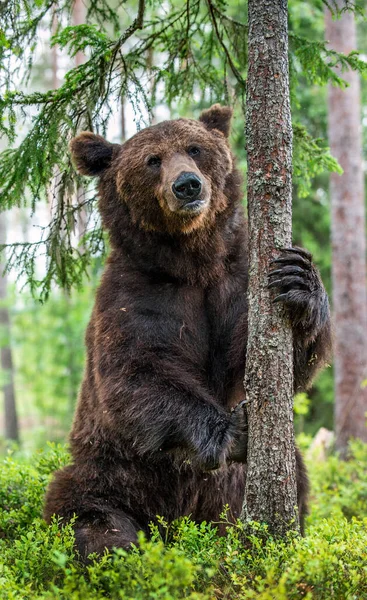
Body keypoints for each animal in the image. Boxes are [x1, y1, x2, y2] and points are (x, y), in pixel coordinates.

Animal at [44, 105, 332, 560]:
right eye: (152, 160)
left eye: (194, 148)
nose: (187, 185)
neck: (192, 260)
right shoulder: (137, 294)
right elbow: (136, 372)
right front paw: (235, 429)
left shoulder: (236, 280)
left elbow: (269, 363)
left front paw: (299, 279)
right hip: (113, 469)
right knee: (85, 512)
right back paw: (119, 549)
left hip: (234, 490)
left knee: (298, 486)